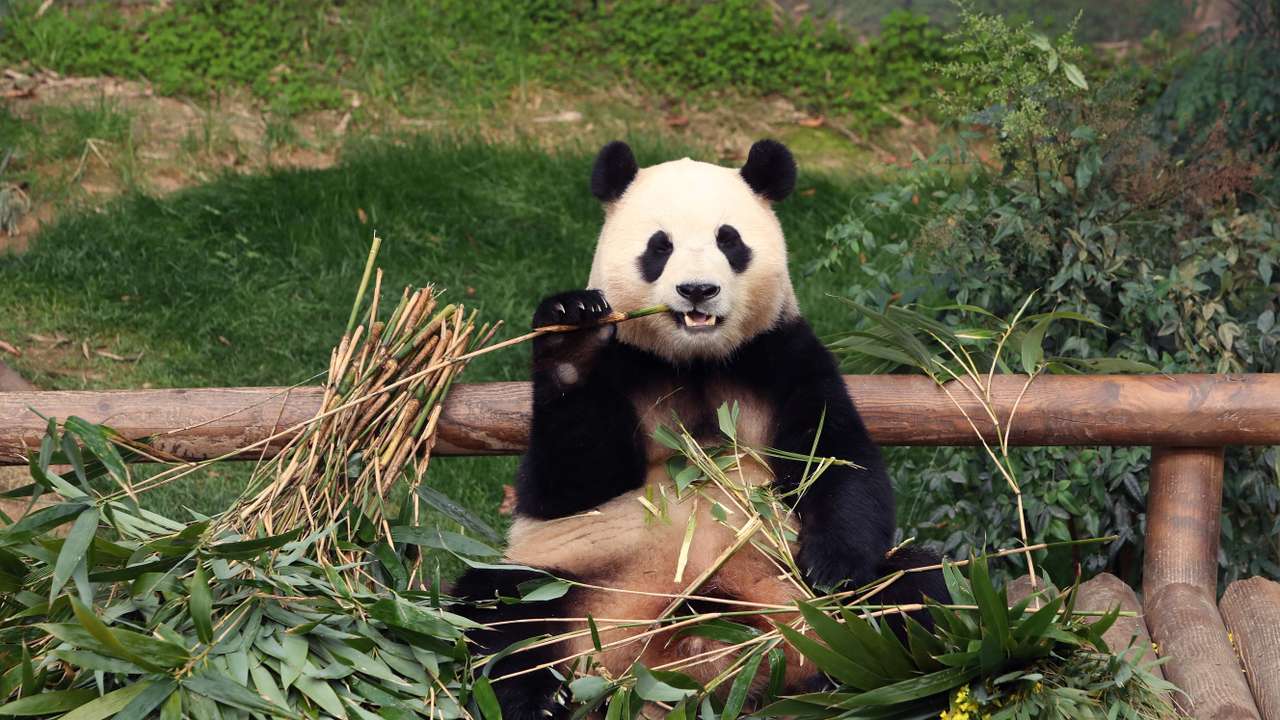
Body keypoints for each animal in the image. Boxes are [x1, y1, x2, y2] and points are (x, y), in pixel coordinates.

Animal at [452, 140, 949, 718]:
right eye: (659, 246)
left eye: (728, 240)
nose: (697, 290)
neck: (695, 361)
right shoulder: (626, 367)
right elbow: (567, 482)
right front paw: (573, 335)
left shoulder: (783, 356)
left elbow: (838, 459)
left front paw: (831, 566)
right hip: (573, 586)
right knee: (500, 612)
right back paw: (537, 697)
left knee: (913, 589)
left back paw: (856, 680)